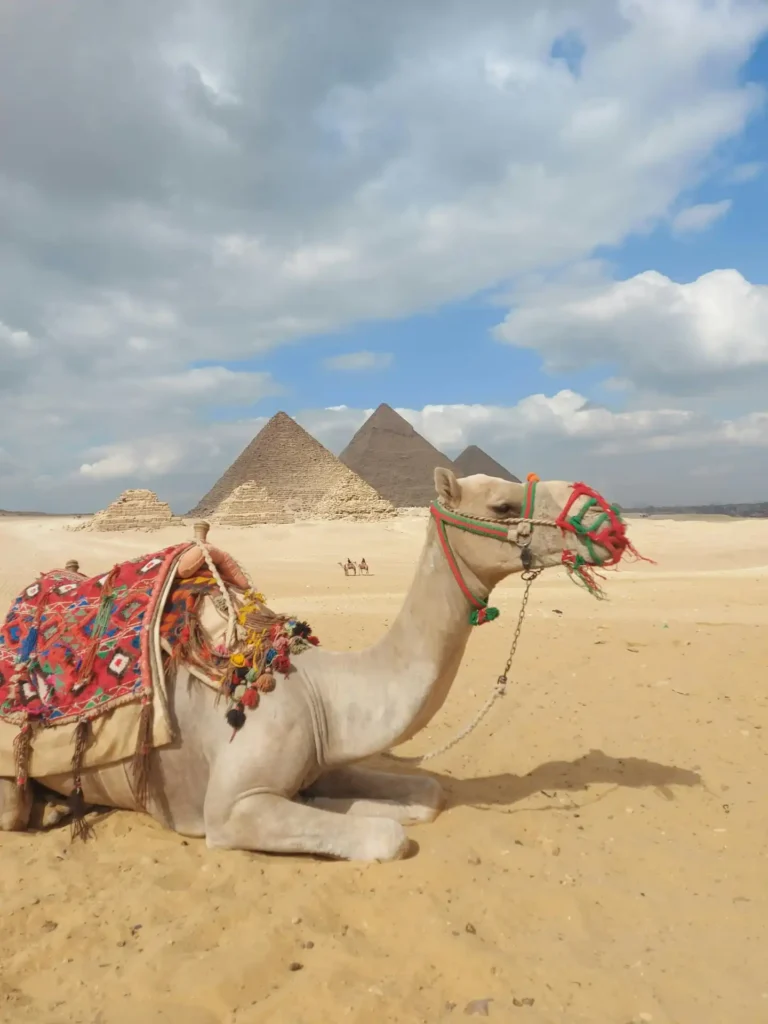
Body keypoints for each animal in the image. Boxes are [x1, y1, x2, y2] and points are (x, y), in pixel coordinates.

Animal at [0, 469, 637, 861]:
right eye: (502, 505)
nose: (606, 523)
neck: (319, 689)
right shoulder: (231, 810)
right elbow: (386, 836)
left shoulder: (323, 756)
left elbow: (425, 794)